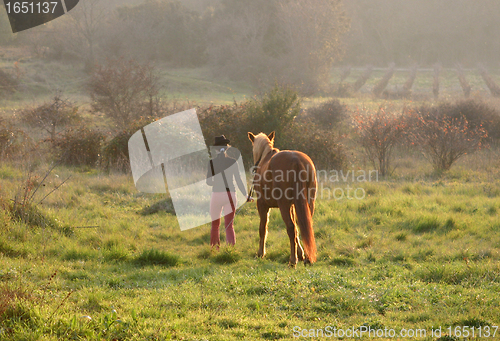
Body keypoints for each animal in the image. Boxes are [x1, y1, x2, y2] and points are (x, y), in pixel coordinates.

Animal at [248, 131, 318, 266]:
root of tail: (296, 160)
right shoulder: (292, 206)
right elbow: (297, 230)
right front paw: (300, 253)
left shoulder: (262, 205)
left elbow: (262, 228)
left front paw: (260, 253)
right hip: (308, 202)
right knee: (304, 227)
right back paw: (307, 258)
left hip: (283, 205)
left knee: (291, 228)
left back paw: (292, 260)